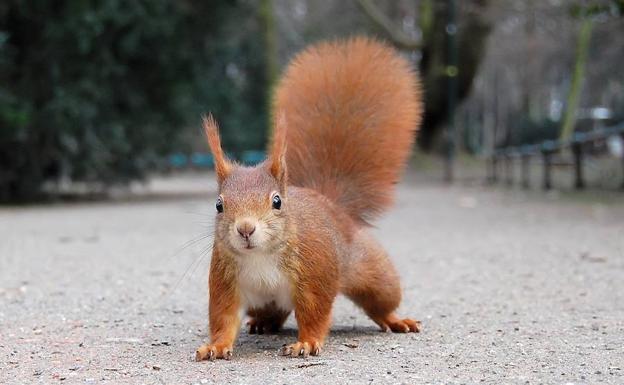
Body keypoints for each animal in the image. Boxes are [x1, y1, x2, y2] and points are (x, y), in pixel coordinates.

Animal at [196, 36, 424, 360]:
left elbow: (314, 313)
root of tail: (330, 203)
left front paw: (306, 342)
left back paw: (395, 320)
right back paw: (263, 323)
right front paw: (215, 346)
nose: (245, 228)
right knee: (273, 312)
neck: (260, 256)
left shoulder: (315, 274)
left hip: (373, 273)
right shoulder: (225, 282)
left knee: (381, 301)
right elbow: (223, 318)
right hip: (262, 301)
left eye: (277, 201)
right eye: (218, 205)